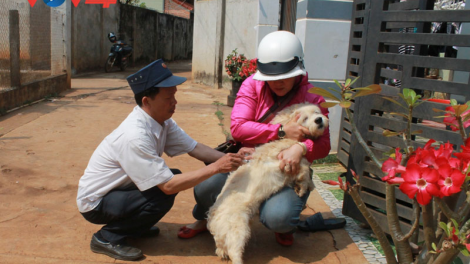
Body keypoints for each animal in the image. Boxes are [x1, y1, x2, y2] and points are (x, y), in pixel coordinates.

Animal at [207, 102, 328, 264]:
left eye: (316, 112)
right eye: (304, 118)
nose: (319, 120)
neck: (283, 141)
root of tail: (212, 218)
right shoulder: (289, 161)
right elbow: (304, 170)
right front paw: (304, 187)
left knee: (222, 249)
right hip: (238, 230)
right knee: (234, 252)